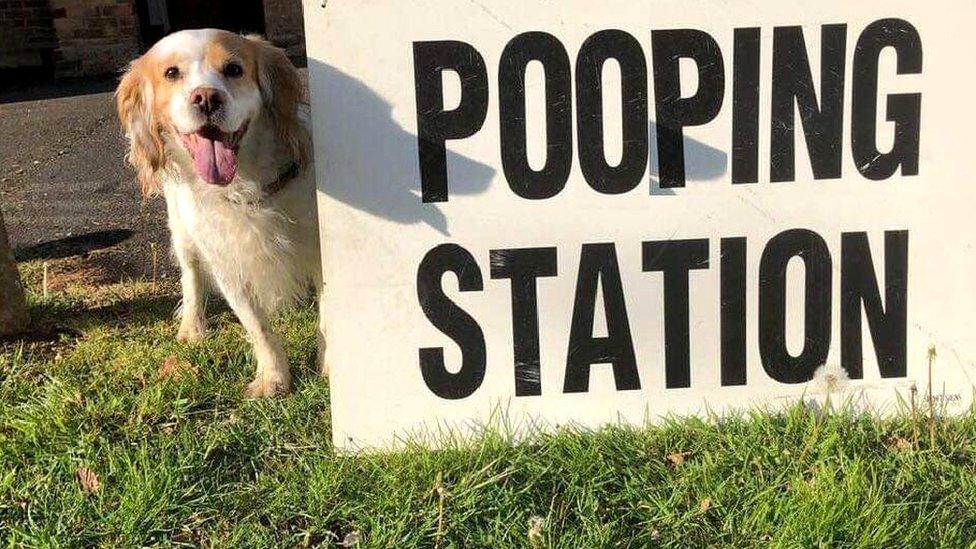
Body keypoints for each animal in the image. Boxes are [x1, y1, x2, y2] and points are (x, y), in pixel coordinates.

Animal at [115, 28, 324, 394]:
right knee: (191, 276)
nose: (206, 98)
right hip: (183, 232)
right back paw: (192, 327)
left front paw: (329, 365)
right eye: (171, 73)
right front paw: (273, 377)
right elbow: (257, 326)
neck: (248, 185)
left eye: (234, 69)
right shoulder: (226, 262)